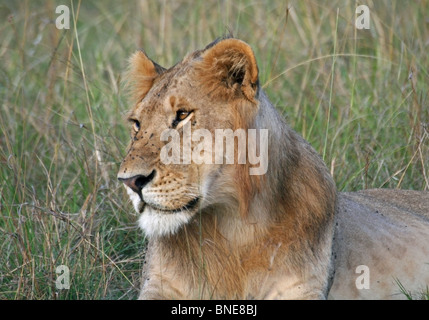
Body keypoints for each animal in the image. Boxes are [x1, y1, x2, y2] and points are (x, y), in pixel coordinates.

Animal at [117, 37, 428, 300]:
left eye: (182, 115)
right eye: (137, 124)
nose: (130, 181)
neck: (233, 225)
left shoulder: (301, 287)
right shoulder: (159, 286)